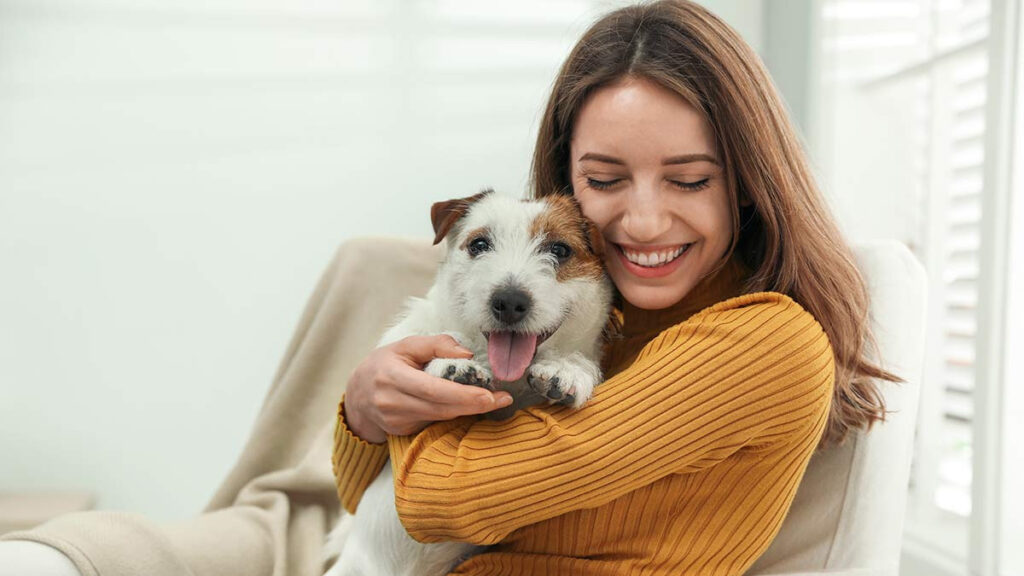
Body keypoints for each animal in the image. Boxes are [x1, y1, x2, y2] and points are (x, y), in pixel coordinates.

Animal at [321, 189, 606, 573]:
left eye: (560, 250)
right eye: (479, 244)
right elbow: (436, 336)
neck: (507, 380)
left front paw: (567, 369)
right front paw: (453, 364)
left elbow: (576, 361)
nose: (509, 301)